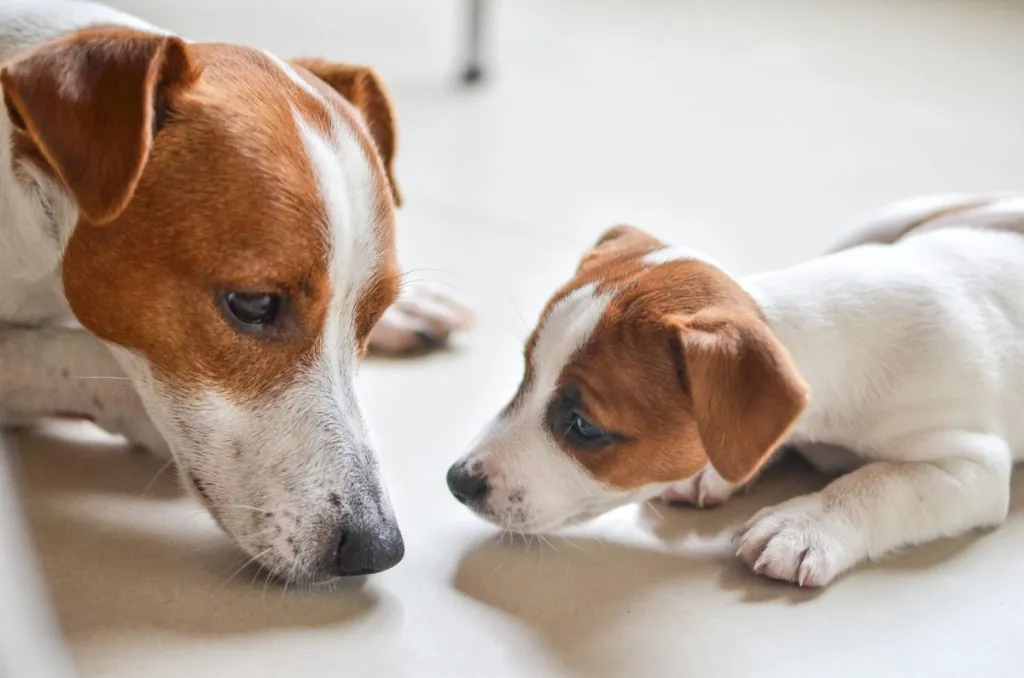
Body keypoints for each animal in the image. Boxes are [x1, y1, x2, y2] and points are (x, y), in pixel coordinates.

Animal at [452, 192, 1024, 589]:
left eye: (583, 427)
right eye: (526, 375)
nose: (457, 480)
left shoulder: (973, 463)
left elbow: (883, 481)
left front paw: (805, 524)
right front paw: (715, 470)